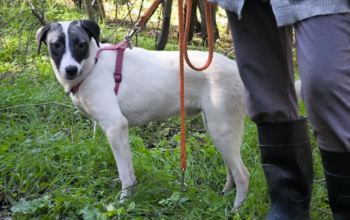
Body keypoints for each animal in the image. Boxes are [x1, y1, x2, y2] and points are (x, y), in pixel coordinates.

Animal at [34, 19, 300, 211]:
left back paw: (236, 209)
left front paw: (123, 203)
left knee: (243, 173)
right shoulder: (119, 132)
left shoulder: (115, 127)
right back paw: (225, 195)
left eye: (80, 44)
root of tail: (236, 69)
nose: (70, 70)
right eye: (56, 45)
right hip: (217, 127)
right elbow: (128, 171)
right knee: (231, 169)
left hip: (220, 129)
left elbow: (125, 174)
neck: (93, 66)